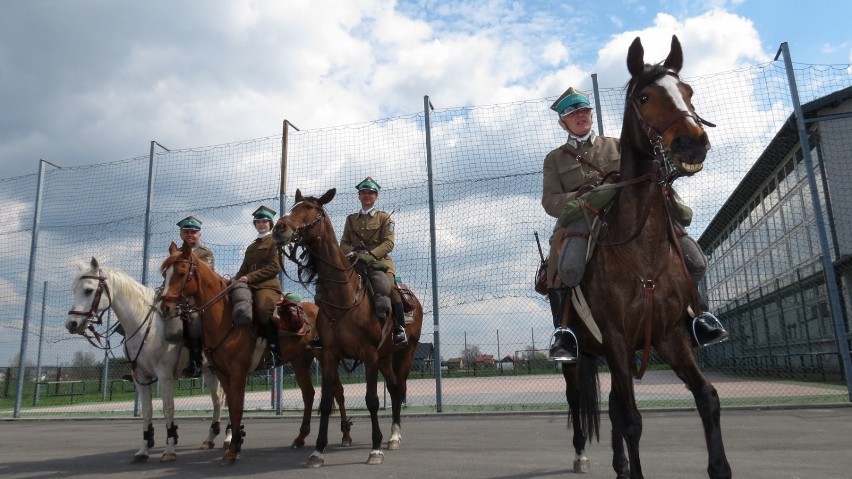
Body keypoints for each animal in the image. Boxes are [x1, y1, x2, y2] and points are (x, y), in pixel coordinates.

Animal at [65, 256, 230, 464]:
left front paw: (169, 449)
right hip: (209, 373)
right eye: (74, 290)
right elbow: (147, 411)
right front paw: (144, 449)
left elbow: (168, 409)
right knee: (217, 401)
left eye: (88, 290)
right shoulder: (140, 378)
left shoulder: (165, 376)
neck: (145, 325)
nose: (71, 324)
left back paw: (228, 438)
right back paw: (210, 438)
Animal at [158, 242, 352, 466]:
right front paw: (235, 444)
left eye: (181, 273)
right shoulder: (223, 373)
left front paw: (233, 450)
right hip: (300, 361)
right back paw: (300, 437)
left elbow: (237, 407)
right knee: (309, 394)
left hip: (325, 356)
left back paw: (346, 435)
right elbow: (231, 406)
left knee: (338, 392)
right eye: (164, 274)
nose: (165, 307)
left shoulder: (238, 371)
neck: (225, 318)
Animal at [274, 189, 424, 466]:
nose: (279, 229)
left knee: (398, 389)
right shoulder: (330, 355)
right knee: (393, 388)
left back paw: (394, 436)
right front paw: (318, 450)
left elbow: (372, 400)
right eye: (293, 207)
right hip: (385, 357)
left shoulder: (369, 355)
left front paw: (375, 449)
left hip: (405, 353)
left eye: (310, 208)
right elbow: (325, 401)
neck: (343, 296)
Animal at [564, 34, 732, 479]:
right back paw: (582, 456)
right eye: (644, 96)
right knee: (580, 399)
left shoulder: (670, 336)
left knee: (612, 405)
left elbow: (707, 397)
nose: (693, 141)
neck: (644, 249)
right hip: (578, 356)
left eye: (687, 91)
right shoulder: (617, 340)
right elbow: (632, 420)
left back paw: (620, 464)